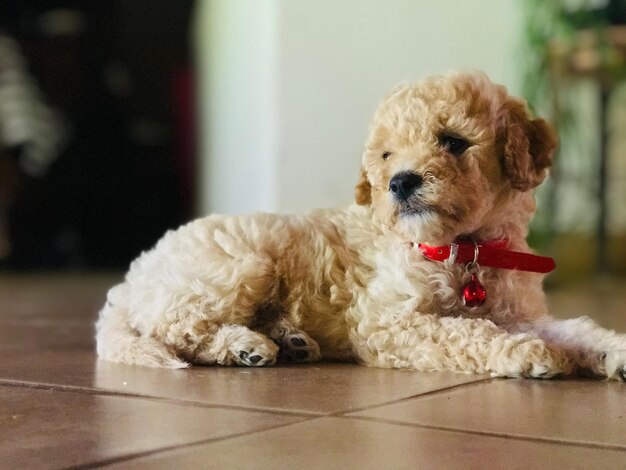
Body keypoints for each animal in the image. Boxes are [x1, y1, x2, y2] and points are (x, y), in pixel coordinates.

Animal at [96, 71, 624, 380]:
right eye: (387, 155)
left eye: (453, 141)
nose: (401, 181)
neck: (465, 248)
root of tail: (130, 280)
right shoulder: (388, 320)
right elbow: (466, 332)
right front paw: (527, 352)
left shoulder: (521, 310)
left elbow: (576, 328)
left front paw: (613, 350)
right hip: (239, 267)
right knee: (177, 329)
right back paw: (245, 346)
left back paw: (290, 342)